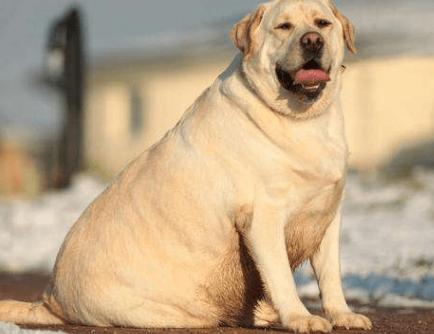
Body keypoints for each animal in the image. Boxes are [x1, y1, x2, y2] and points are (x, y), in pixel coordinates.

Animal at [0, 1, 372, 332]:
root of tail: (51, 299)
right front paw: (300, 318)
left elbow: (331, 276)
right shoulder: (263, 218)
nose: (312, 41)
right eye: (284, 26)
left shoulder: (327, 215)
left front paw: (342, 315)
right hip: (168, 310)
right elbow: (281, 276)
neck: (303, 119)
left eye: (322, 23)